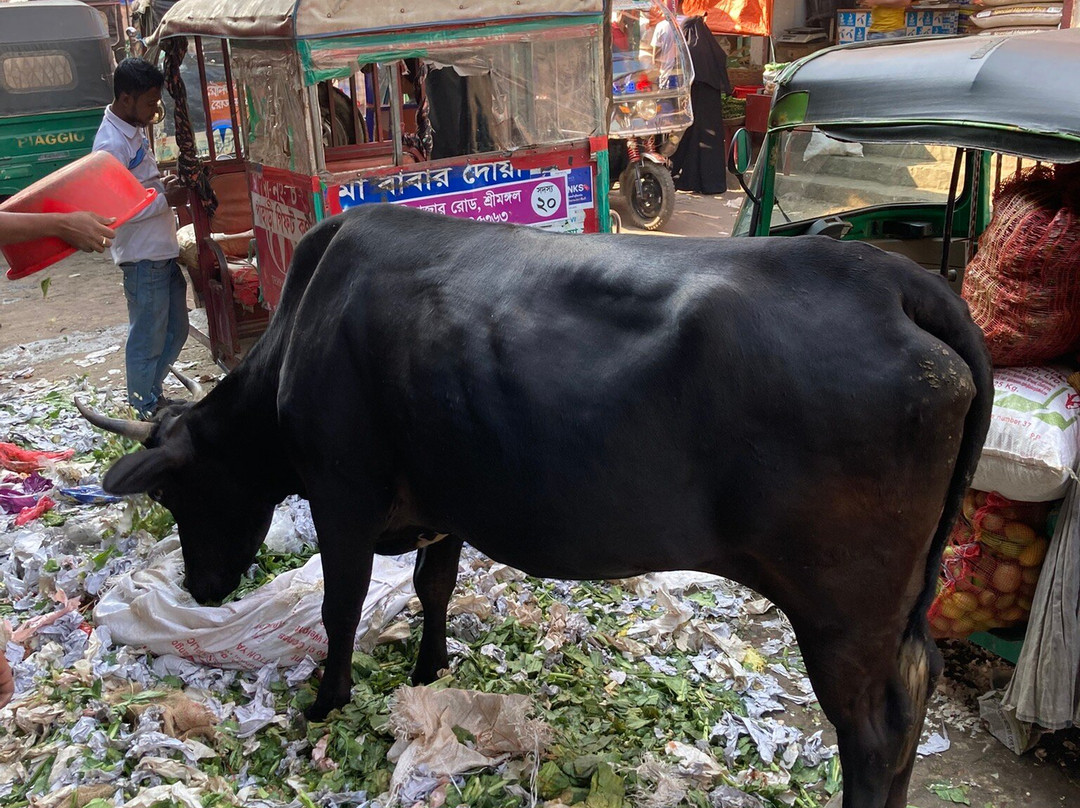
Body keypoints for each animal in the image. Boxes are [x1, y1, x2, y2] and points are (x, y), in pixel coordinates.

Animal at [78, 203, 991, 808]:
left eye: (177, 491)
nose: (200, 588)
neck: (302, 332)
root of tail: (892, 279)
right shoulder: (442, 503)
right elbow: (434, 589)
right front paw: (429, 673)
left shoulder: (343, 497)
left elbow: (340, 608)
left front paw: (326, 701)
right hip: (895, 602)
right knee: (917, 686)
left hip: (842, 605)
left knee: (877, 727)